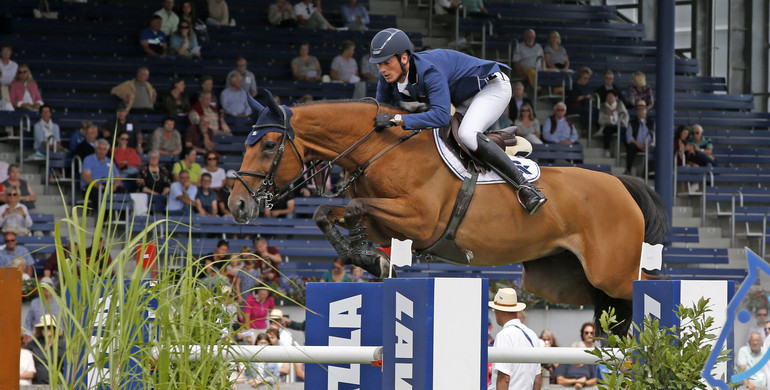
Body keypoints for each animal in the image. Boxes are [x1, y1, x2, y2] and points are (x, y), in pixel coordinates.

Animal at [228, 92, 664, 336]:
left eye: (268, 145)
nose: (237, 205)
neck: (380, 149)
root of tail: (622, 184)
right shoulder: (389, 225)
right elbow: (329, 212)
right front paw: (365, 257)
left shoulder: (420, 221)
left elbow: (350, 207)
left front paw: (366, 255)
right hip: (568, 282)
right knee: (613, 317)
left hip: (612, 273)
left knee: (648, 289)